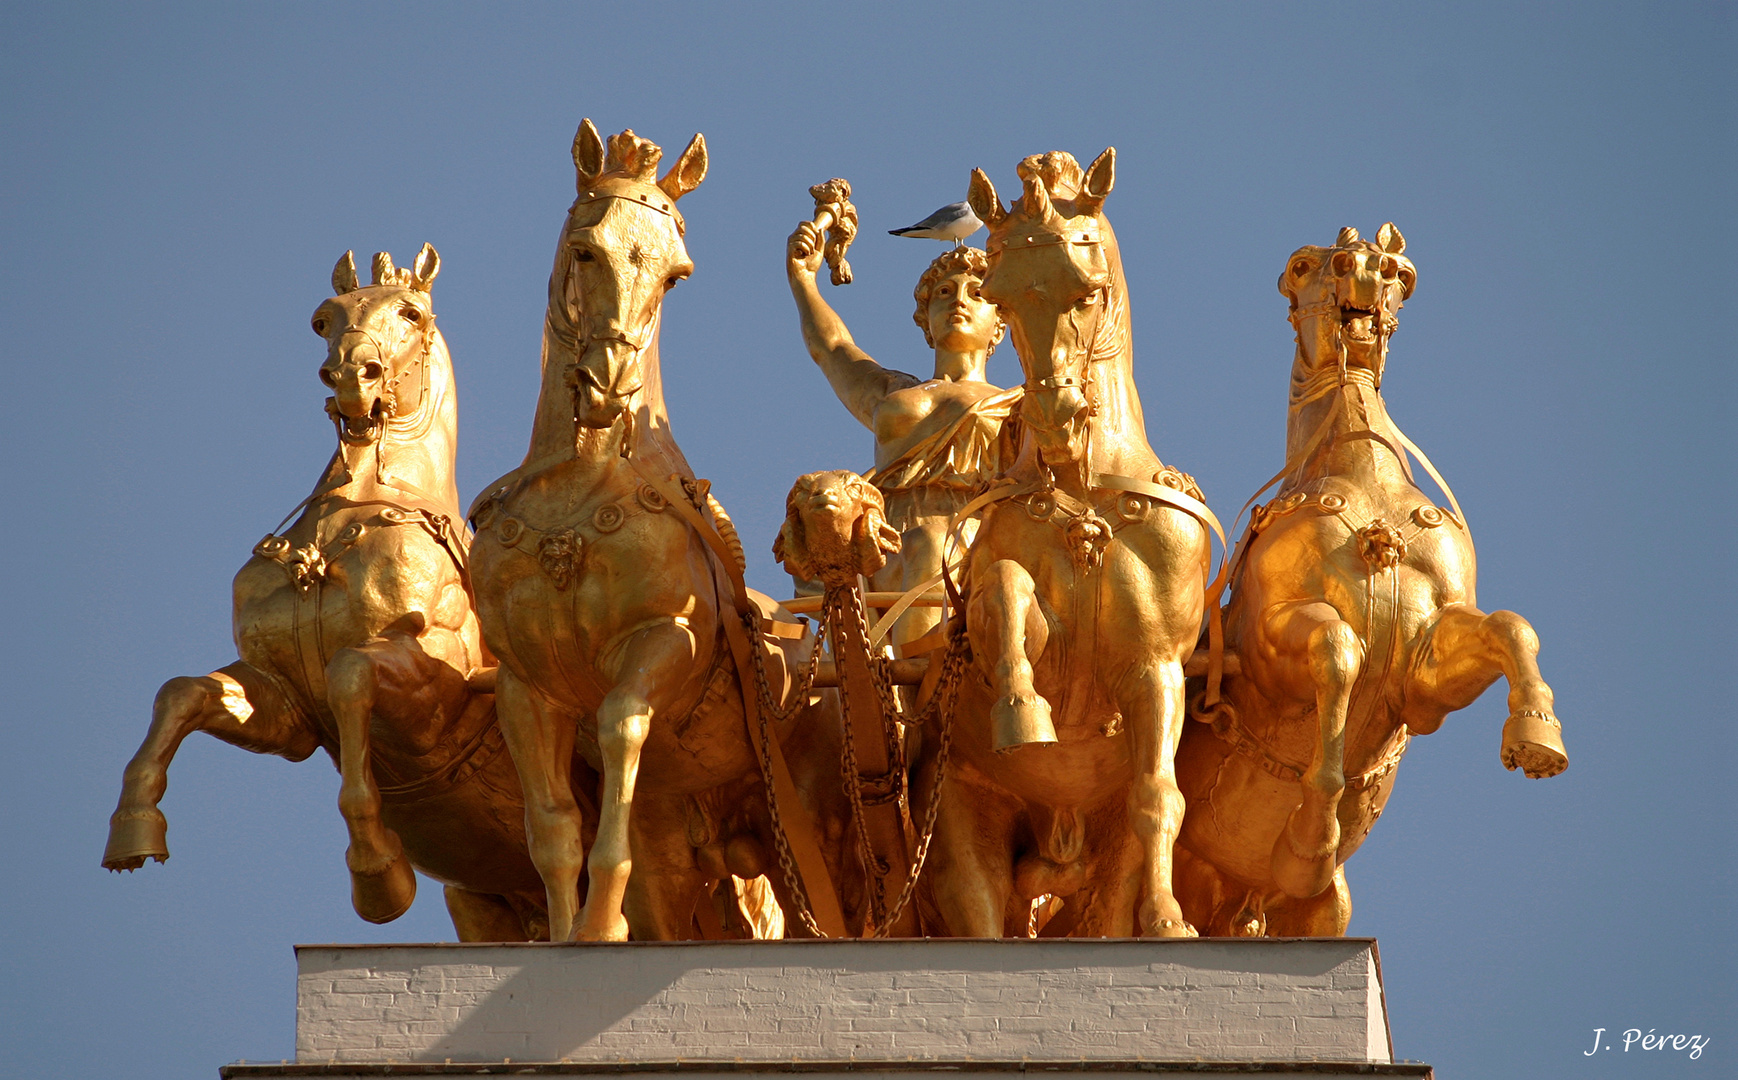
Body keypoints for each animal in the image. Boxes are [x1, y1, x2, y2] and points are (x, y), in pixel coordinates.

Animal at [103, 248, 549, 939]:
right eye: (322, 319)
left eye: (411, 312)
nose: (350, 377)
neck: (346, 518)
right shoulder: (285, 707)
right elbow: (183, 693)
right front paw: (133, 830)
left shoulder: (434, 694)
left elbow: (349, 676)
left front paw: (378, 873)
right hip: (481, 900)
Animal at [472, 121, 858, 939]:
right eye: (586, 249)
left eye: (675, 275)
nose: (611, 382)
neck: (581, 490)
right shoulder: (524, 686)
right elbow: (552, 828)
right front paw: (573, 935)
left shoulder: (665, 643)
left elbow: (621, 721)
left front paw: (599, 923)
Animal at [917, 151, 1216, 932]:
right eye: (999, 296)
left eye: (1089, 291)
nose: (1053, 415)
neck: (1085, 496)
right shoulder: (989, 631)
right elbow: (1004, 588)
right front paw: (1020, 710)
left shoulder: (1155, 669)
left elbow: (1158, 795)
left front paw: (1169, 918)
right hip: (960, 830)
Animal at [1174, 222, 1571, 932]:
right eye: (1303, 266)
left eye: (1397, 272)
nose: (1363, 266)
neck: (1364, 485)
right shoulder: (1271, 642)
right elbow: (1337, 651)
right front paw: (1311, 839)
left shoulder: (1423, 672)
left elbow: (1509, 627)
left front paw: (1535, 737)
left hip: (1321, 912)